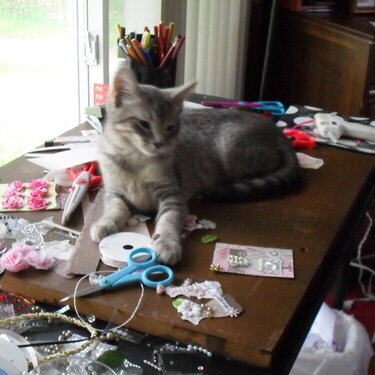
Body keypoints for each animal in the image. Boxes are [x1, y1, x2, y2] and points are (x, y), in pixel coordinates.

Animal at [91, 67, 302, 264]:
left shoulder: (172, 194)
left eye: (170, 127)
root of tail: (275, 129)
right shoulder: (113, 191)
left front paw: (167, 244)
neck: (136, 160)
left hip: (232, 150)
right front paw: (105, 224)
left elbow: (169, 219)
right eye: (143, 124)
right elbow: (115, 207)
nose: (160, 143)